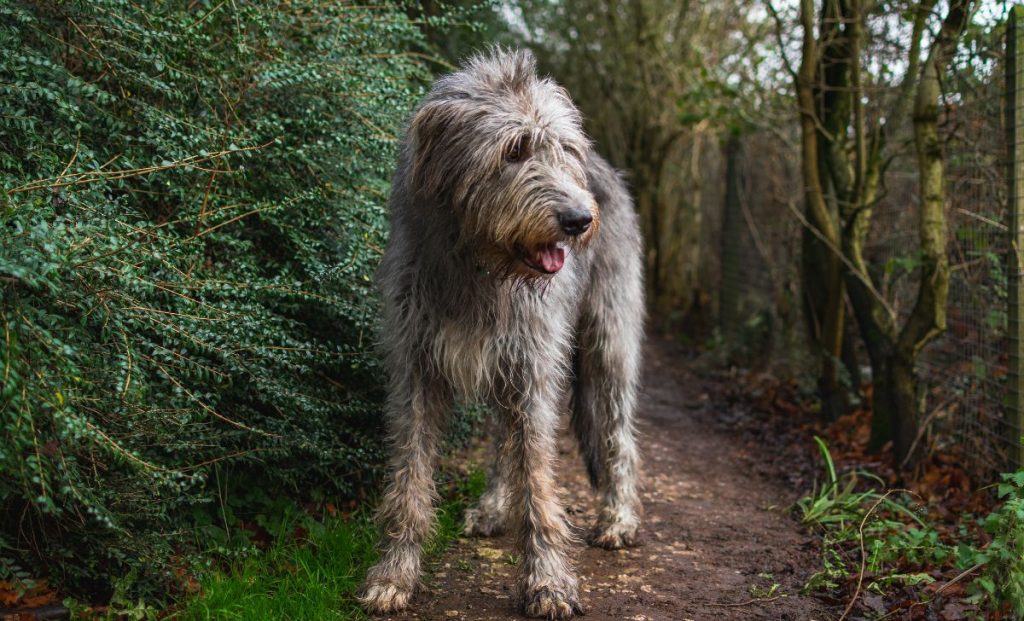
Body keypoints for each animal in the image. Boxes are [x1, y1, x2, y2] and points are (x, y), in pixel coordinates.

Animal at [360, 49, 643, 621]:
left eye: (564, 150)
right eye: (513, 151)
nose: (579, 220)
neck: (479, 267)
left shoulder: (533, 366)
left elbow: (538, 479)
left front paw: (549, 581)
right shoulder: (415, 369)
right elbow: (410, 476)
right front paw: (395, 573)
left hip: (610, 341)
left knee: (617, 432)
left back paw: (619, 518)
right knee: (500, 435)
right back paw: (494, 506)